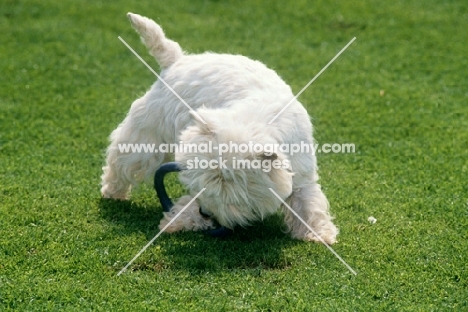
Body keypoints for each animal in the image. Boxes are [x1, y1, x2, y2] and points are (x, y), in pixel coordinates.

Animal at [100, 12, 338, 244]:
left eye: (229, 188)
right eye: (205, 184)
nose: (205, 213)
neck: (256, 122)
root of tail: (178, 60)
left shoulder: (302, 174)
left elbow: (308, 203)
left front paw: (320, 234)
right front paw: (179, 220)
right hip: (147, 137)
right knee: (122, 162)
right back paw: (112, 192)